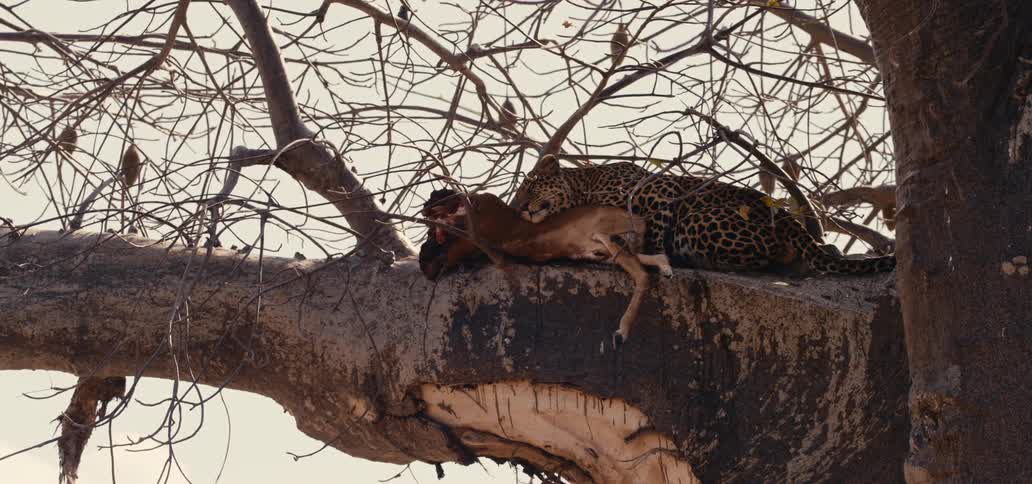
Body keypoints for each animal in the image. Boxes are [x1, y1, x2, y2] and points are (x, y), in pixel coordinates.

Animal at [515, 155, 895, 275]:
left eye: (529, 186)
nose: (520, 207)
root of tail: (787, 218)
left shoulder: (659, 190)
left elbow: (653, 230)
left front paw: (654, 256)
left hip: (697, 219)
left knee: (762, 261)